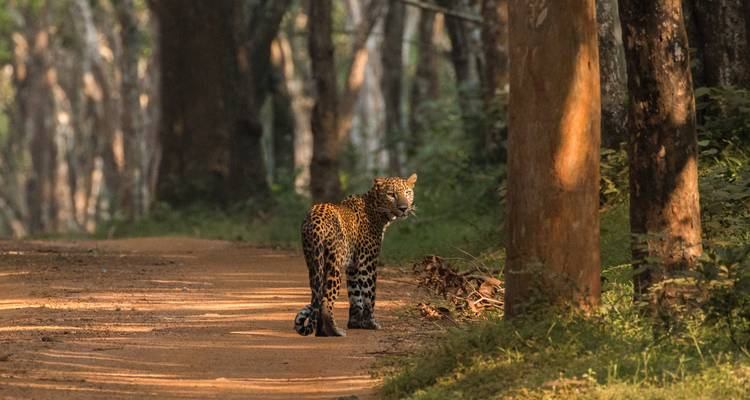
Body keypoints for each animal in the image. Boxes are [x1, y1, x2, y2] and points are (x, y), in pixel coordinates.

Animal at [294, 173, 417, 336]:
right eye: (391, 194)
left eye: (407, 193)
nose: (403, 208)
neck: (377, 211)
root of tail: (315, 219)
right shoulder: (367, 262)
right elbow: (369, 294)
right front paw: (371, 323)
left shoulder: (352, 266)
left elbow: (355, 295)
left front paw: (355, 323)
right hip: (334, 264)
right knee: (326, 299)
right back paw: (334, 331)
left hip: (314, 261)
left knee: (317, 295)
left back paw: (322, 331)